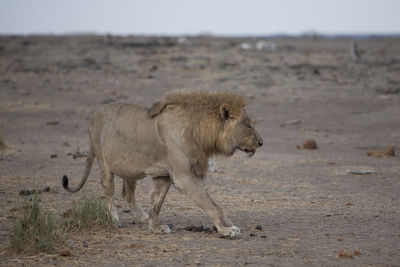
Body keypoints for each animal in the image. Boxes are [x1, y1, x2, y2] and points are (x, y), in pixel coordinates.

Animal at [61, 91, 262, 238]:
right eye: (249, 126)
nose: (261, 143)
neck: (200, 132)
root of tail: (94, 114)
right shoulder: (184, 177)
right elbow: (211, 204)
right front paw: (227, 229)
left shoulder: (163, 175)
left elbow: (156, 202)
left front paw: (155, 226)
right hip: (104, 163)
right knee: (109, 194)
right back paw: (115, 220)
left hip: (130, 168)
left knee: (127, 193)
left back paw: (142, 217)